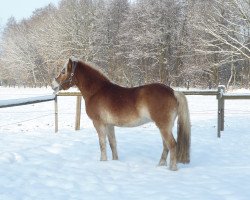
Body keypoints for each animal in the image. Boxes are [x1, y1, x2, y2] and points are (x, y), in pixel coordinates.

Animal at [51, 57, 190, 170]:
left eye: (63, 71)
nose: (53, 85)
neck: (96, 91)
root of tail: (173, 92)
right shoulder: (109, 125)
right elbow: (113, 143)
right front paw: (115, 161)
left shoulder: (99, 123)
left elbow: (102, 144)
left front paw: (103, 161)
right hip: (164, 126)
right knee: (166, 145)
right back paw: (160, 165)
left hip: (163, 126)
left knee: (172, 144)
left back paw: (172, 169)